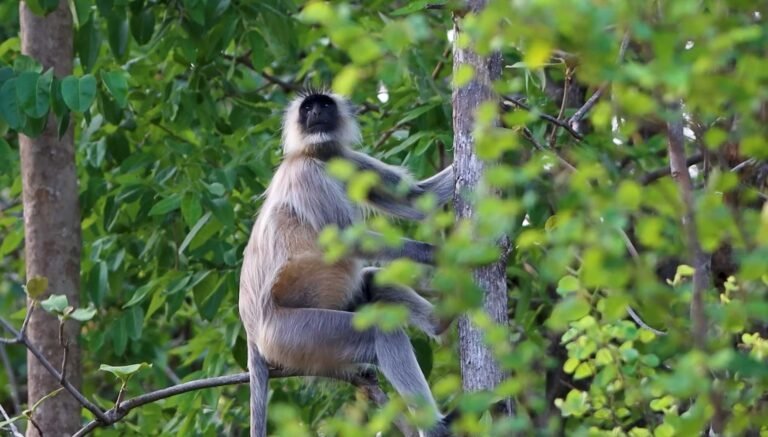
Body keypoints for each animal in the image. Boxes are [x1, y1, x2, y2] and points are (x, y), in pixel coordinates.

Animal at [238, 89, 455, 437]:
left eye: (324, 105)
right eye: (308, 108)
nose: (316, 113)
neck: (319, 155)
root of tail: (251, 331)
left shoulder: (346, 160)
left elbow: (419, 198)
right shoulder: (305, 173)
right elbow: (345, 241)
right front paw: (439, 254)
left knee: (371, 280)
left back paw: (440, 321)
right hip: (292, 335)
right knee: (380, 333)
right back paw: (433, 426)